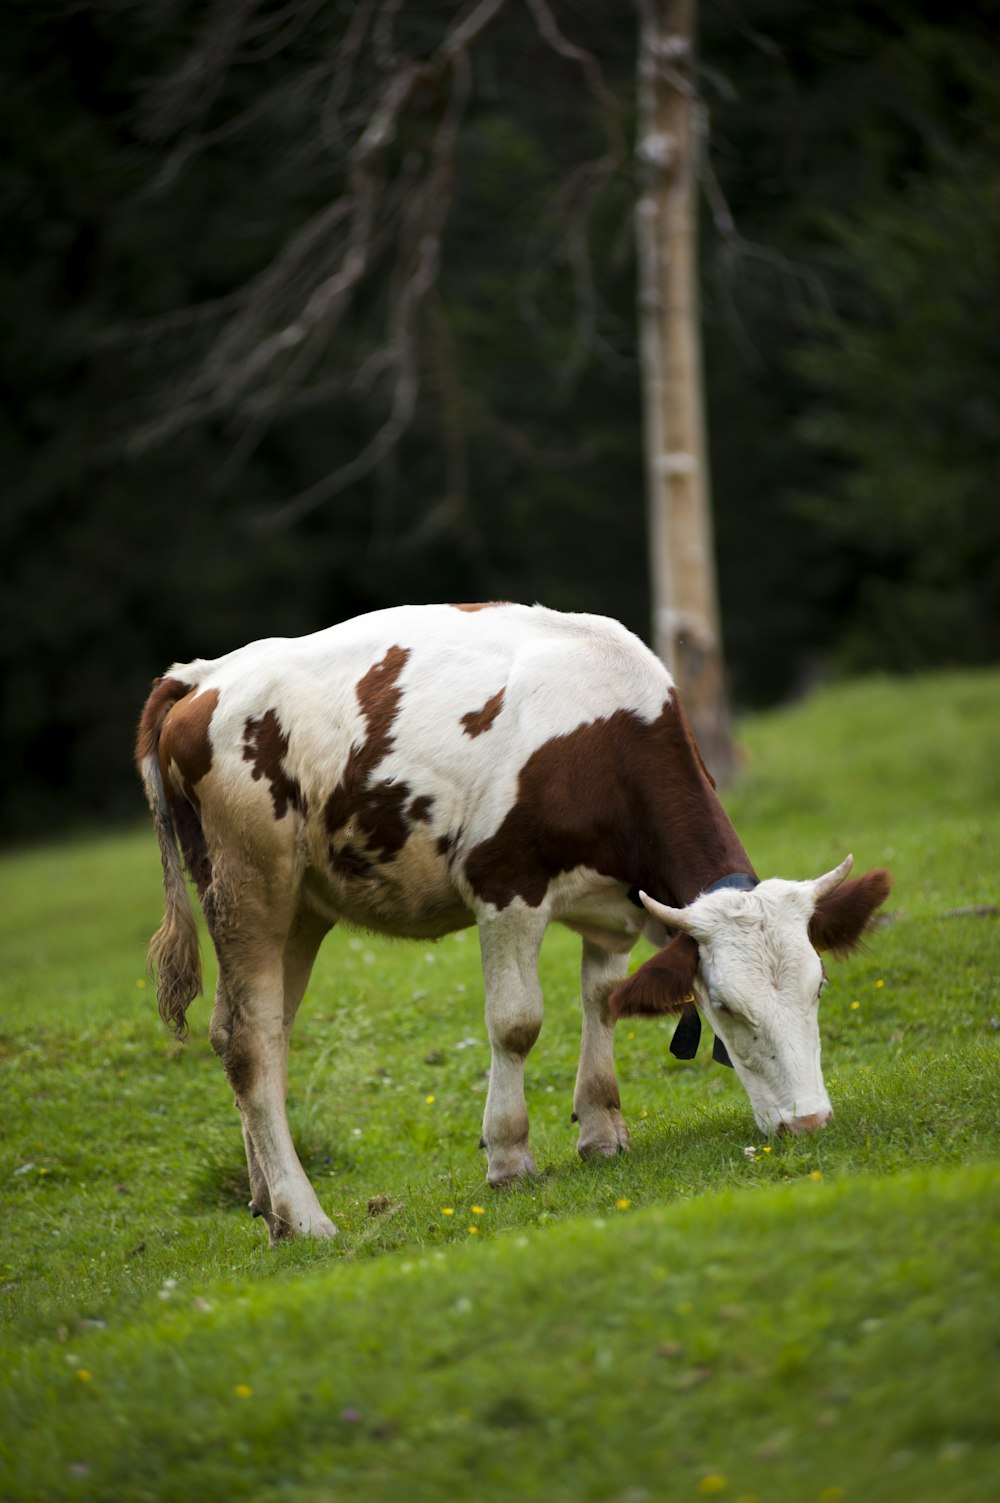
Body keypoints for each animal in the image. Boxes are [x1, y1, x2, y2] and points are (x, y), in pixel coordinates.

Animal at [134, 601, 890, 1244]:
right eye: (726, 1008)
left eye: (818, 987)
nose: (810, 1121)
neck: (605, 738)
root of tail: (203, 676)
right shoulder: (506, 888)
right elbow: (516, 1023)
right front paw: (508, 1157)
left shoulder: (614, 908)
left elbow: (603, 1002)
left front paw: (601, 1132)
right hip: (250, 888)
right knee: (249, 1043)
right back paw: (305, 1216)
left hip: (302, 909)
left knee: (255, 1033)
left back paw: (268, 1207)